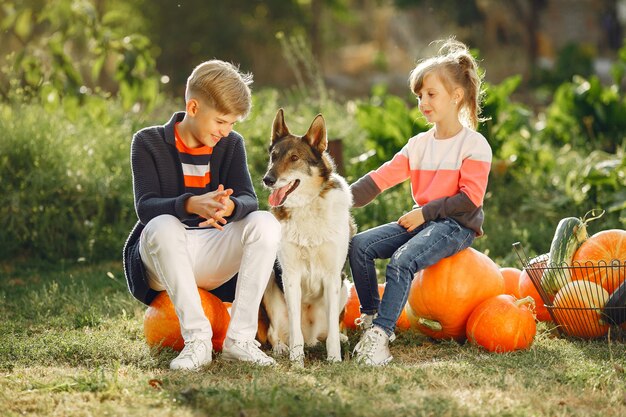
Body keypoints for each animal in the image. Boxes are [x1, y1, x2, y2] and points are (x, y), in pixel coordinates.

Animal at [260, 108, 354, 364]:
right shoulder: (290, 275)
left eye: (294, 158)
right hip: (270, 284)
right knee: (275, 333)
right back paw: (282, 348)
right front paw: (296, 361)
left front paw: (335, 359)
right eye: (273, 156)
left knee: (329, 330)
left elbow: (332, 332)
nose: (268, 180)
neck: (307, 206)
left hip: (345, 285)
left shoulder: (332, 276)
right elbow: (294, 332)